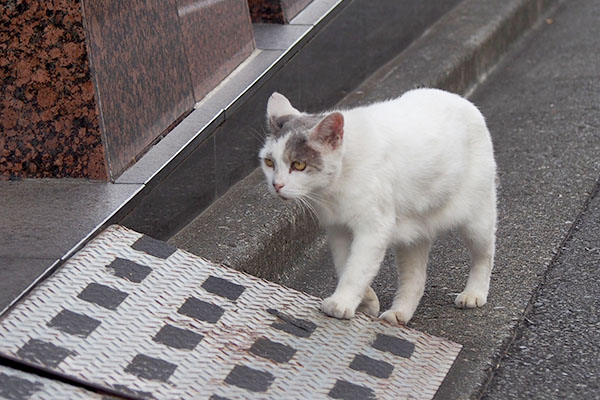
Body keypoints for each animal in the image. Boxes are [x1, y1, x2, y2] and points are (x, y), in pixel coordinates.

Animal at [258, 88, 496, 324]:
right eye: (269, 163)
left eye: (298, 164)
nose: (276, 184)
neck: (337, 184)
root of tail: (459, 98)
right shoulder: (338, 230)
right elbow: (344, 264)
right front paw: (368, 301)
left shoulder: (373, 228)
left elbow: (357, 269)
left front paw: (341, 303)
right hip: (413, 233)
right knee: (415, 278)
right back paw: (398, 314)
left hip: (477, 221)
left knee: (485, 255)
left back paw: (474, 293)